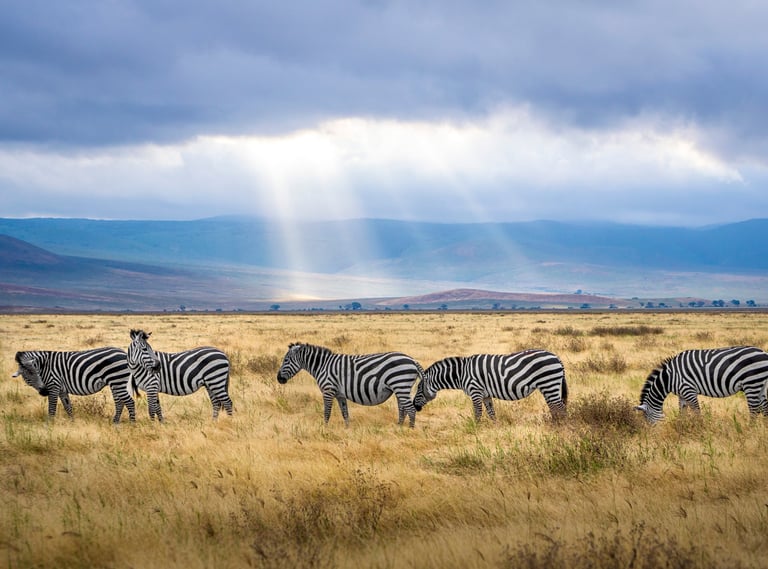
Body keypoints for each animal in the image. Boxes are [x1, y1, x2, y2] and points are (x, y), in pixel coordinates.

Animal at [276, 342, 424, 427]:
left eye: (286, 360)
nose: (278, 379)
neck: (322, 366)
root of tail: (412, 360)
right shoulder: (340, 394)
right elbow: (345, 413)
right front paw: (347, 430)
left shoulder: (328, 390)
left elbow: (327, 412)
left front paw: (325, 429)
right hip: (400, 388)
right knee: (403, 409)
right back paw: (398, 427)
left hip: (400, 385)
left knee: (410, 410)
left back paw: (409, 430)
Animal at [413, 350, 568, 421]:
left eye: (419, 389)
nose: (415, 406)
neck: (461, 373)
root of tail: (557, 357)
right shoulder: (485, 394)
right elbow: (491, 413)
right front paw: (495, 429)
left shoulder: (475, 391)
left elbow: (478, 413)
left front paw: (476, 430)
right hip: (549, 386)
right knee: (555, 407)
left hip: (549, 383)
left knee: (560, 408)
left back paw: (560, 427)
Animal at [635, 346, 768, 424]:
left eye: (647, 419)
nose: (652, 435)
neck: (670, 377)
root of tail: (764, 353)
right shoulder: (682, 394)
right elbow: (682, 412)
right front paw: (681, 427)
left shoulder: (689, 390)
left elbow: (697, 412)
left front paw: (700, 429)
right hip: (760, 385)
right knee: (765, 407)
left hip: (751, 383)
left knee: (754, 410)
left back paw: (749, 430)